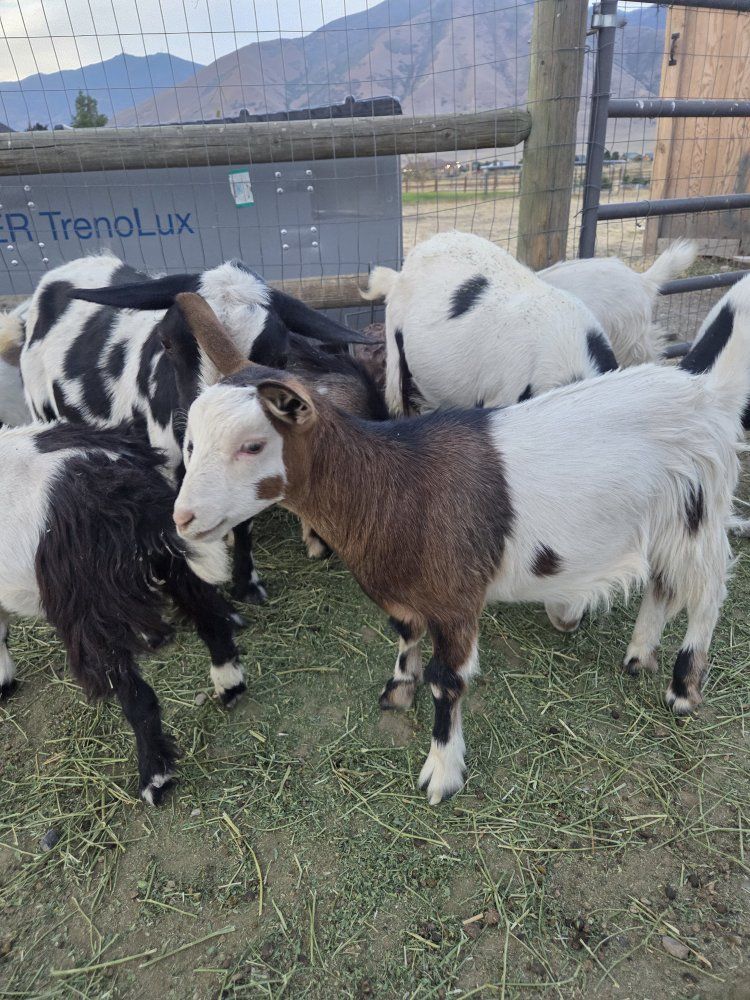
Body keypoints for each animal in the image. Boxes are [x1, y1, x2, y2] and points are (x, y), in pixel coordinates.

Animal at [0, 421, 245, 804]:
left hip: (89, 609)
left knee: (137, 697)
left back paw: (155, 778)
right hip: (172, 560)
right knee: (210, 618)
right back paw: (229, 684)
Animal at [172, 289, 749, 805]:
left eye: (252, 446)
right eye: (190, 441)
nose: (182, 519)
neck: (393, 484)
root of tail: (705, 393)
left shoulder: (456, 599)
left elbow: (447, 682)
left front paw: (442, 774)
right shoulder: (405, 593)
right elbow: (405, 635)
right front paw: (397, 691)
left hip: (699, 512)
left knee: (707, 593)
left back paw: (683, 689)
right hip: (664, 522)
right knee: (663, 585)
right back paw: (638, 656)